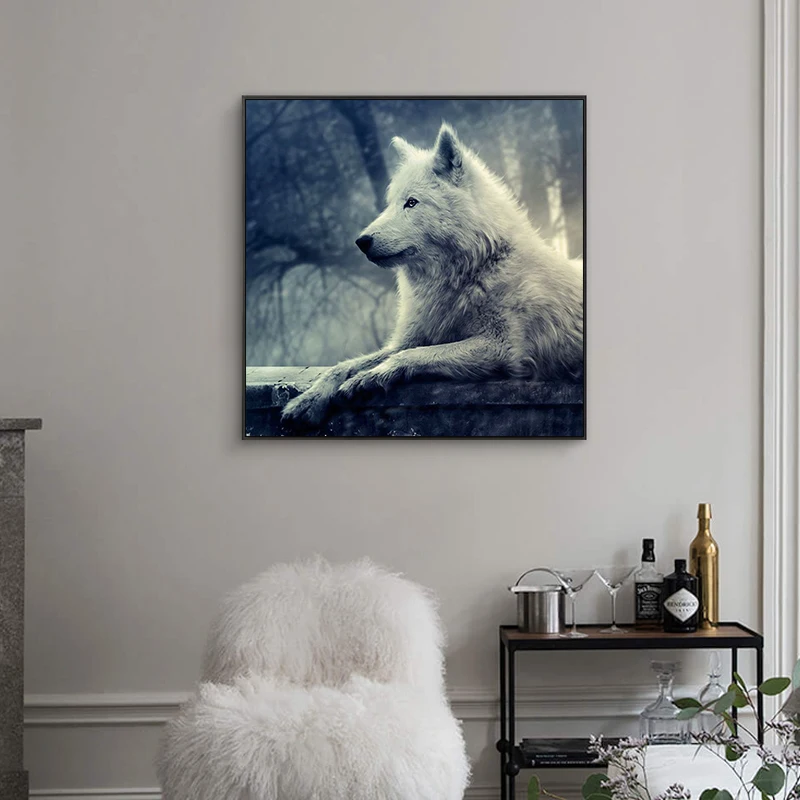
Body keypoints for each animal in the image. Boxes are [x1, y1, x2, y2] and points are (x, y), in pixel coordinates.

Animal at [281, 122, 583, 428]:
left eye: (412, 203)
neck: (474, 270)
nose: (361, 241)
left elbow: (414, 355)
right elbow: (343, 366)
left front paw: (372, 376)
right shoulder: (410, 337)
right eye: (390, 204)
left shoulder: (503, 348)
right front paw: (308, 400)